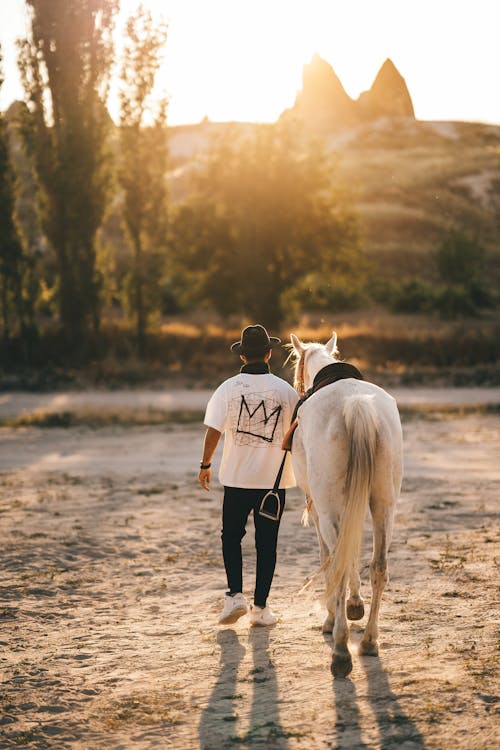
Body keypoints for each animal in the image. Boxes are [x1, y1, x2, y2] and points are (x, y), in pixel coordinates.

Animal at [290, 332, 402, 680]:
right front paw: (355, 605)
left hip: (328, 508)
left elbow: (330, 557)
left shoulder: (319, 510)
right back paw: (369, 641)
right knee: (379, 567)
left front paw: (334, 616)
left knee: (336, 564)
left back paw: (340, 651)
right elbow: (354, 550)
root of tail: (356, 405)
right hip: (384, 504)